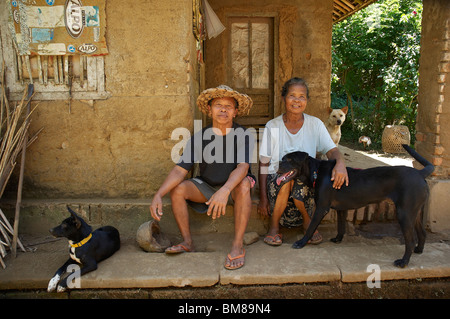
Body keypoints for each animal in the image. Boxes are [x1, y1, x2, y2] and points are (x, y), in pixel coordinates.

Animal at [276, 146, 434, 268]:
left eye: (289, 160)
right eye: (282, 158)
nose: (276, 164)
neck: (316, 172)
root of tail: (420, 173)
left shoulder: (321, 207)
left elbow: (311, 228)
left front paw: (301, 243)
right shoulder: (341, 209)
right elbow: (341, 226)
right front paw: (338, 239)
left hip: (404, 213)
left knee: (410, 240)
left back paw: (403, 262)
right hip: (414, 212)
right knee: (422, 233)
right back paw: (419, 250)